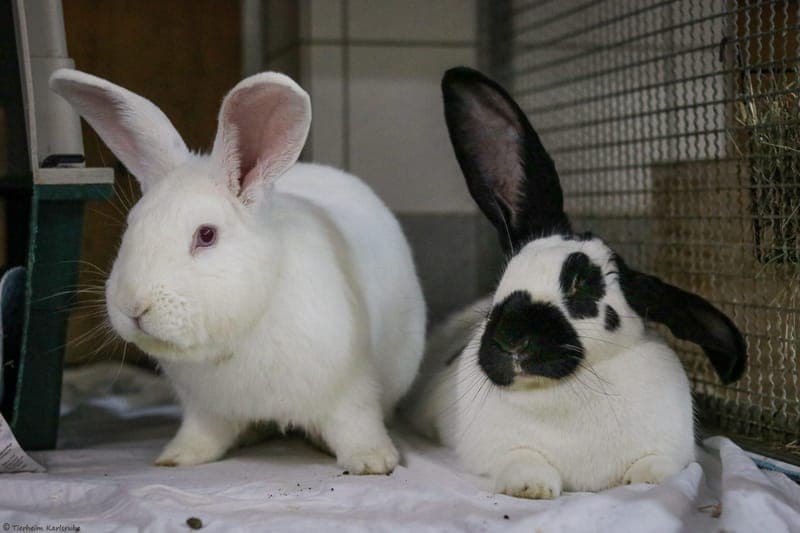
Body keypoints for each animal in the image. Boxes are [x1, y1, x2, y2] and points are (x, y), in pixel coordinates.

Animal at [50, 68, 426, 474]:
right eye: (132, 224)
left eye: (206, 235)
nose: (133, 306)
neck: (244, 327)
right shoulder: (205, 409)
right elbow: (201, 434)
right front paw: (176, 458)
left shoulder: (352, 390)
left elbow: (357, 424)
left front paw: (374, 461)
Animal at [404, 67, 747, 498]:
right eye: (504, 277)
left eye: (583, 286)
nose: (511, 339)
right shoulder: (499, 450)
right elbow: (522, 461)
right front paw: (531, 486)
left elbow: (661, 466)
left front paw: (647, 479)